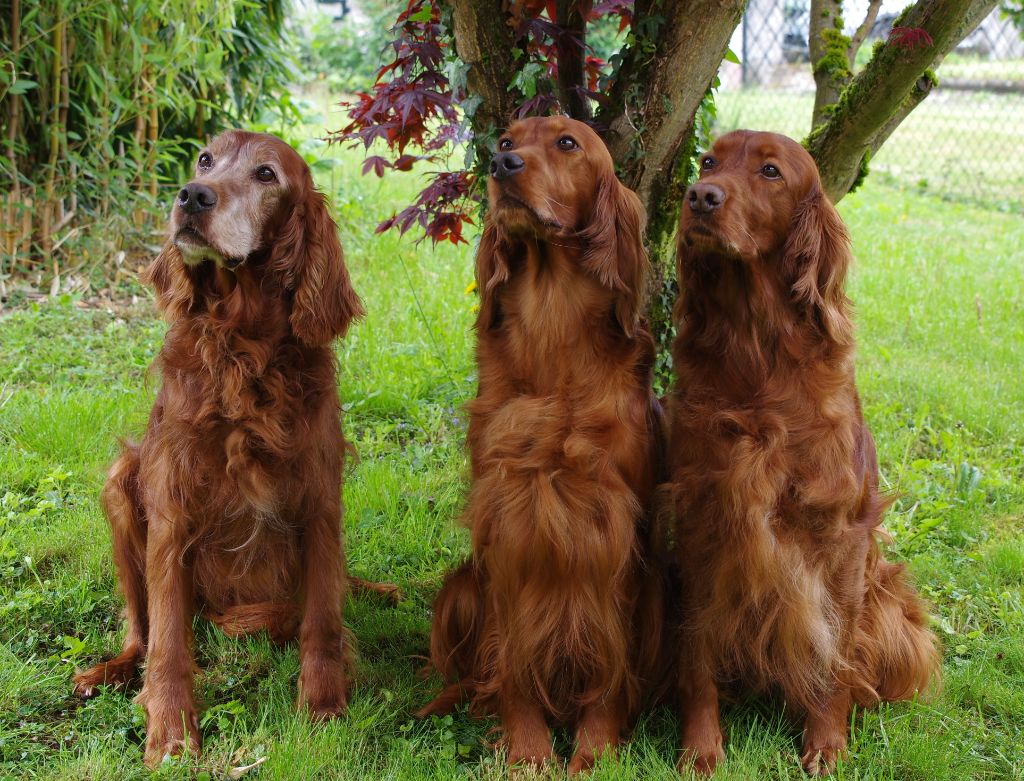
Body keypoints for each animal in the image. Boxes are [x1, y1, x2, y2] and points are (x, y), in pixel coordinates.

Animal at [74, 131, 372, 765]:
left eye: (266, 174)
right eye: (205, 159)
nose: (192, 196)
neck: (244, 347)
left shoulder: (318, 503)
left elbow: (322, 622)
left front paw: (324, 705)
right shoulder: (172, 512)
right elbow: (168, 641)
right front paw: (170, 729)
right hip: (122, 480)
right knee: (139, 630)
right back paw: (105, 672)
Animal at [415, 117, 663, 777]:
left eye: (567, 143)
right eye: (507, 139)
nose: (501, 165)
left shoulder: (615, 535)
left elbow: (608, 662)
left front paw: (595, 749)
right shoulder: (507, 522)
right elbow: (514, 659)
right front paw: (528, 747)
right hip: (461, 585)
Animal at [667, 128, 937, 777]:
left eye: (770, 171)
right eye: (708, 161)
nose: (700, 197)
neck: (756, 351)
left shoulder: (838, 534)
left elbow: (834, 651)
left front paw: (826, 741)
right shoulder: (702, 518)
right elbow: (697, 648)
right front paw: (701, 746)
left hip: (889, 606)